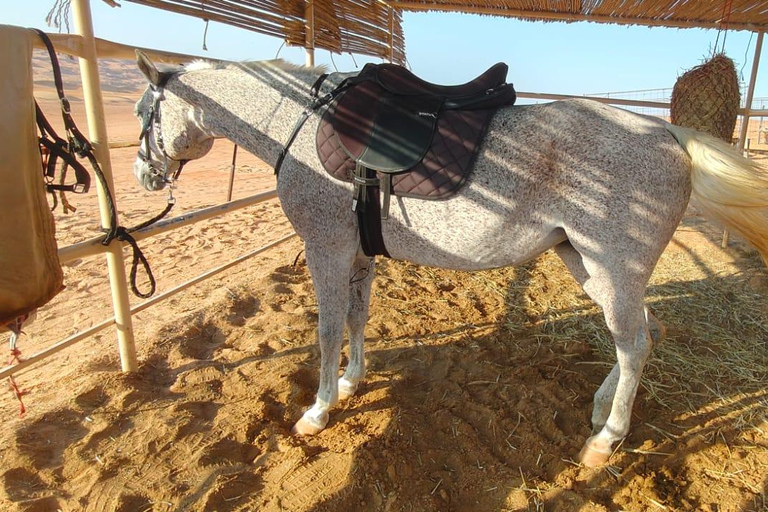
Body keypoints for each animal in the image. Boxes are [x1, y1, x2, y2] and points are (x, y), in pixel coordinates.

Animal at [131, 52, 768, 467]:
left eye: (144, 113)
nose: (143, 175)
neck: (300, 121)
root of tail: (671, 136)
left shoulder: (325, 248)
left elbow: (329, 327)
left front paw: (319, 408)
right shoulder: (358, 252)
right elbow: (357, 320)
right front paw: (352, 381)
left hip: (611, 268)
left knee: (634, 343)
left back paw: (604, 440)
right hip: (590, 266)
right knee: (644, 333)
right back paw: (599, 407)